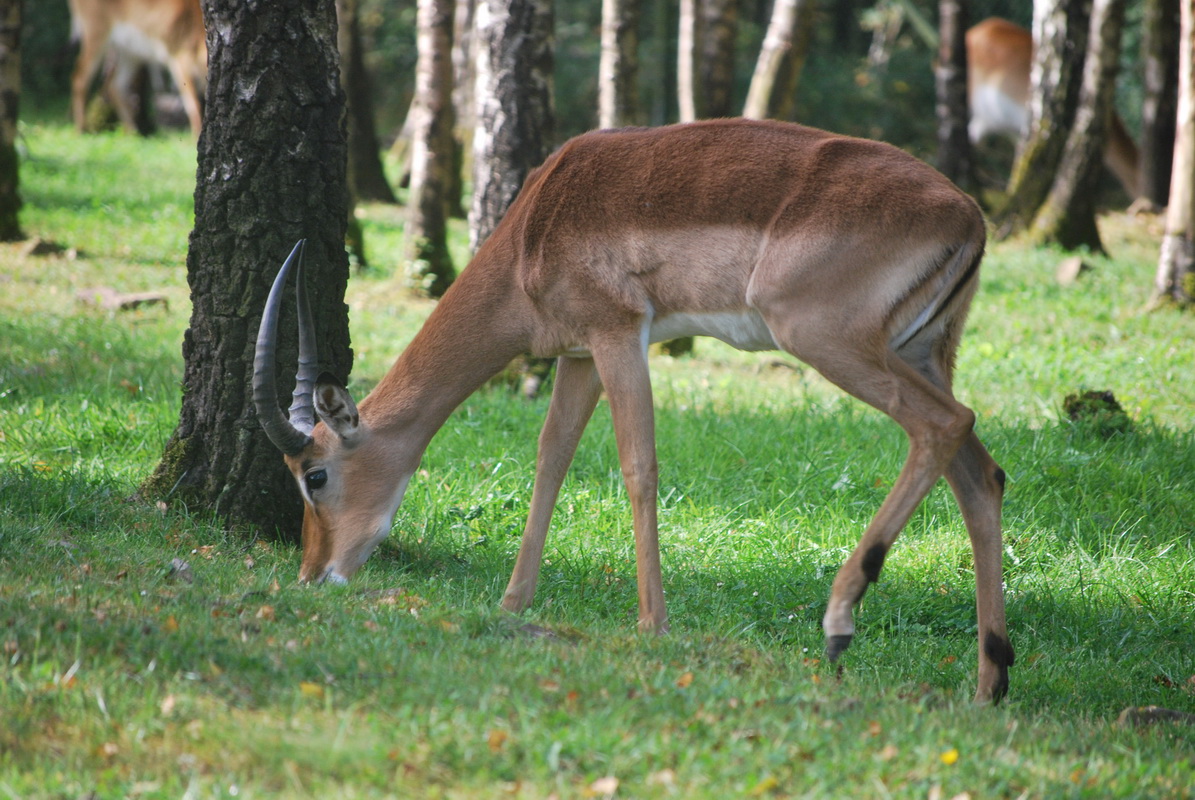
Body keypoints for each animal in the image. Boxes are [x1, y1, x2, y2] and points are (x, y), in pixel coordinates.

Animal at [67, 0, 205, 135]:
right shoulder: (179, 58)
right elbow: (193, 104)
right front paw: (196, 135)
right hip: (96, 33)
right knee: (80, 77)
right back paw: (81, 129)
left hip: (130, 53)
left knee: (114, 85)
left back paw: (132, 132)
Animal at [256, 117, 1013, 698]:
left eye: (315, 475)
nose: (313, 575)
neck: (533, 227)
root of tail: (969, 215)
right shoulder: (577, 356)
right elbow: (550, 460)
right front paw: (511, 603)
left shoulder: (618, 333)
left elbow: (637, 465)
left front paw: (652, 625)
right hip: (921, 352)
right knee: (981, 472)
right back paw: (988, 685)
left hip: (825, 338)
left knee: (946, 425)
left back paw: (840, 621)